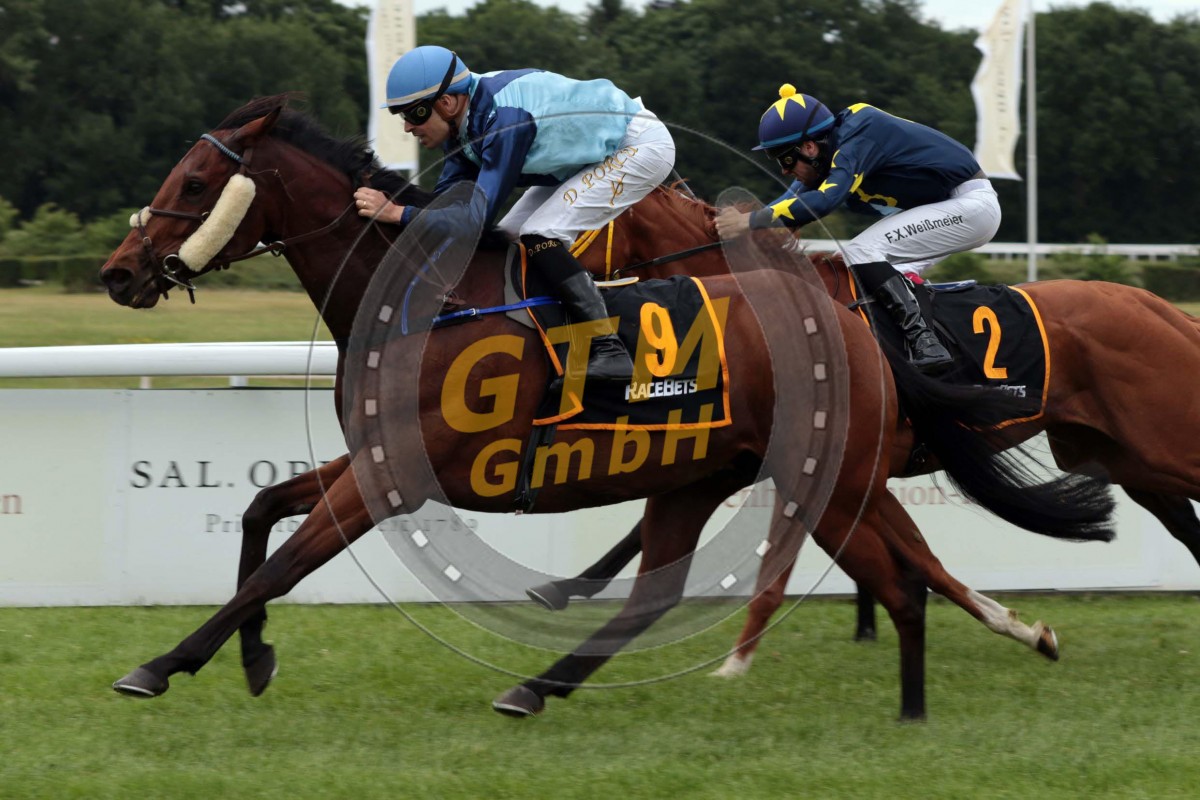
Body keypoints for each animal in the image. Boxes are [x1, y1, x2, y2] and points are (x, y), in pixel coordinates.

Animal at [98, 96, 1114, 720]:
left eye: (196, 184)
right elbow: (260, 511)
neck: (426, 300)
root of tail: (849, 323)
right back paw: (538, 687)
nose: (118, 274)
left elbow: (282, 567)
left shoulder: (393, 479)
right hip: (710, 473)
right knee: (684, 588)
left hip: (815, 470)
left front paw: (159, 665)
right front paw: (252, 659)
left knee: (898, 574)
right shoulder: (373, 460)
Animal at [540, 184, 1200, 675]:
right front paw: (565, 588)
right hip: (1125, 457)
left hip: (1164, 440)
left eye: (583, 217)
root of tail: (1160, 307)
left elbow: (781, 559)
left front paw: (737, 659)